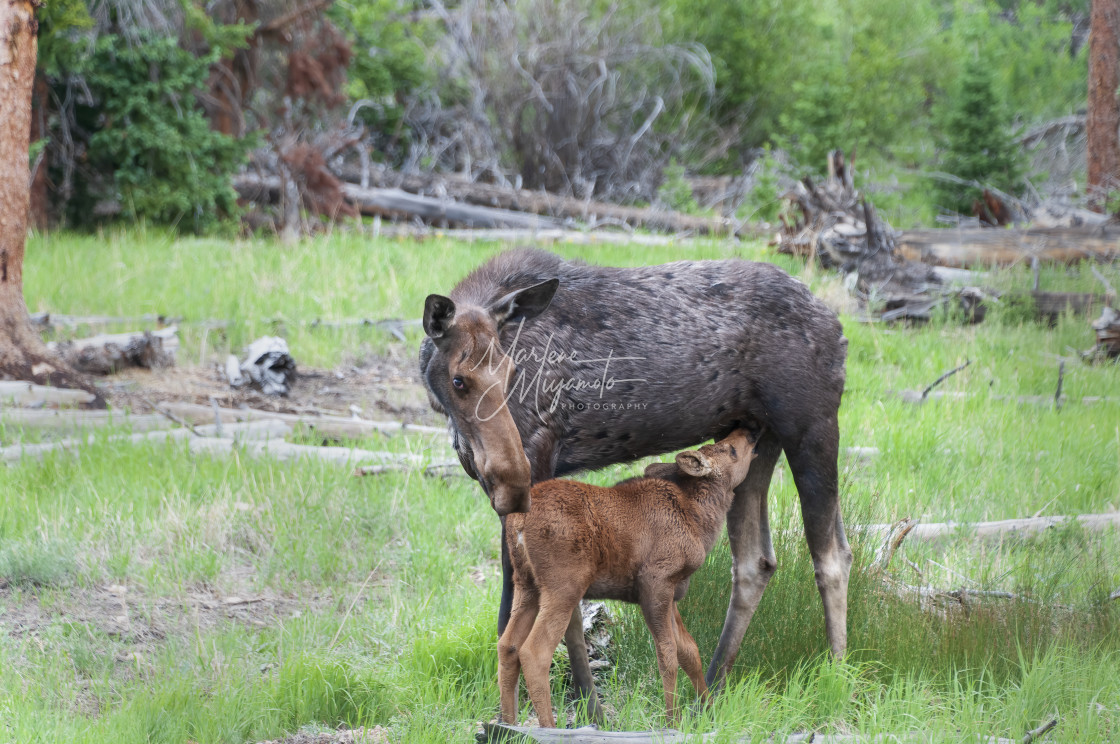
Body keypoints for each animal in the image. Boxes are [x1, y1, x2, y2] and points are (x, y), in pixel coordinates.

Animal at [499, 430, 761, 726]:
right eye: (731, 451)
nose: (748, 433)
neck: (699, 520)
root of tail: (518, 523)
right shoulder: (655, 581)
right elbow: (667, 654)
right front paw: (672, 721)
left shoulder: (673, 592)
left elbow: (689, 651)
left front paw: (709, 712)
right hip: (563, 586)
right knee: (534, 652)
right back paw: (548, 727)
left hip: (526, 584)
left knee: (507, 645)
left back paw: (507, 725)